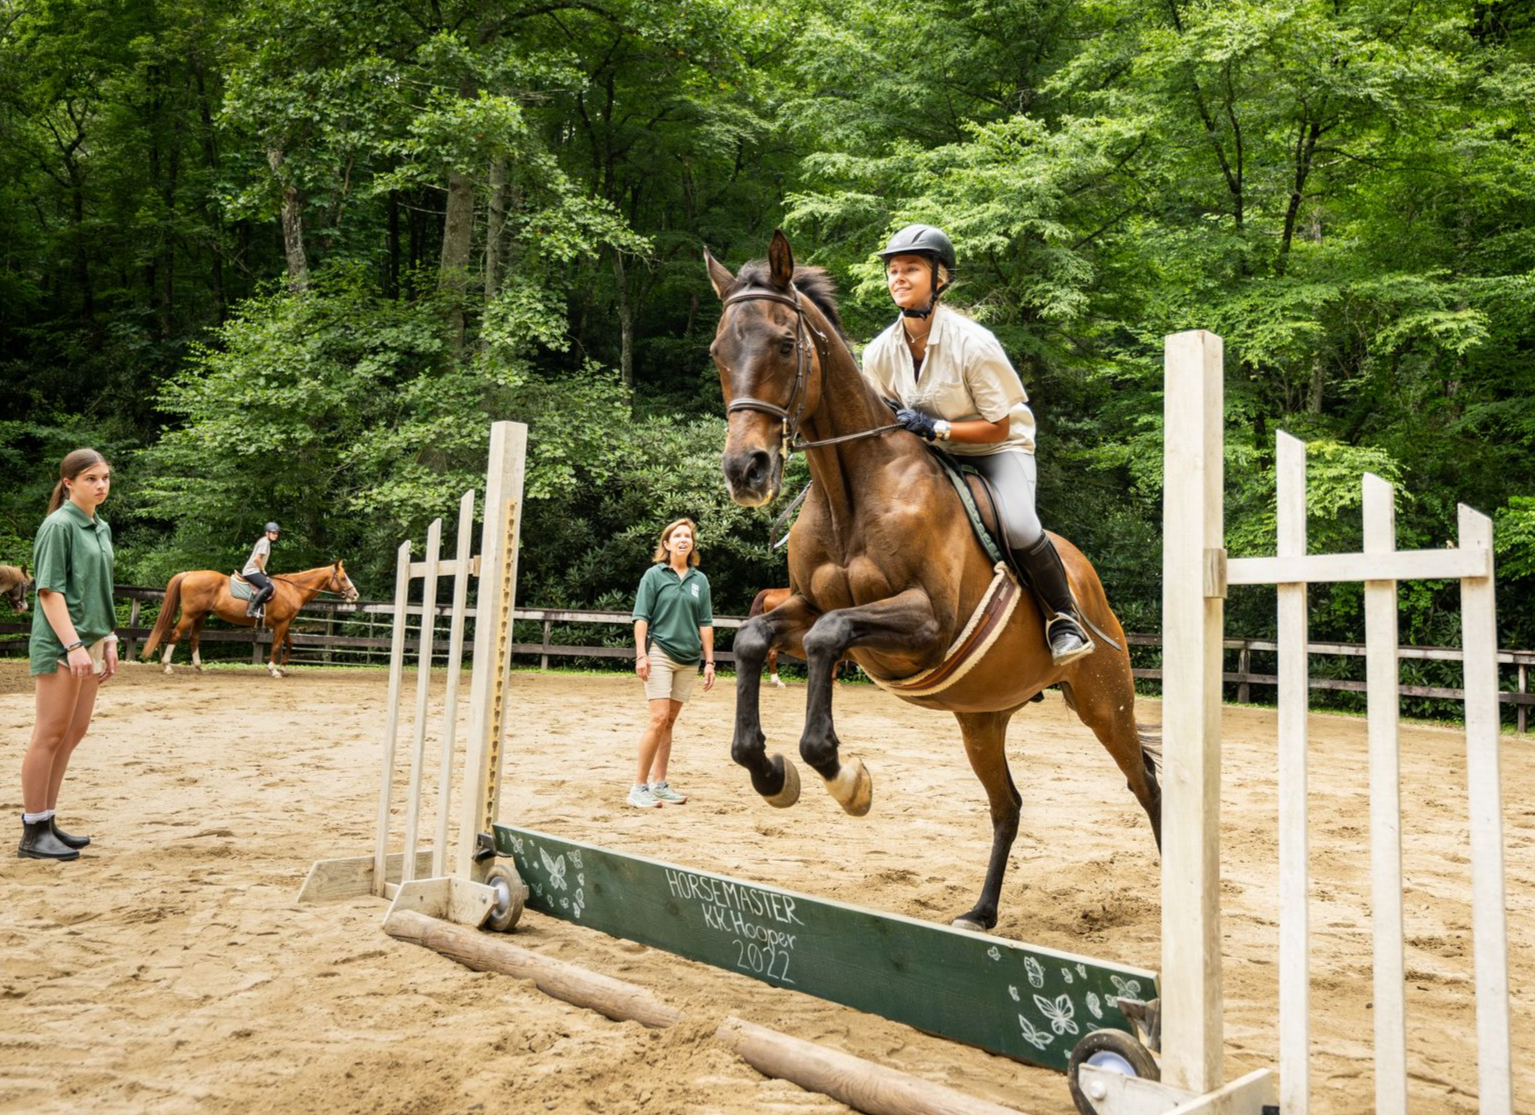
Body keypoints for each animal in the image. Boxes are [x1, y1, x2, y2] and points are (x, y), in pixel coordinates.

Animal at [140, 562, 358, 678]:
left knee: (194, 639)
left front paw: (283, 667)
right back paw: (167, 666)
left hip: (201, 616)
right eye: (343, 577)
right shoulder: (281, 624)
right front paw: (273, 670)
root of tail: (189, 574)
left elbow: (289, 643)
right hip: (190, 615)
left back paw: (200, 666)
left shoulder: (284, 623)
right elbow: (277, 645)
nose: (355, 595)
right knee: (176, 634)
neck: (292, 589)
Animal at [705, 231, 1161, 932]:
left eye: (784, 344)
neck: (852, 490)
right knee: (1007, 805)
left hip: (1104, 701)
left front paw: (844, 777)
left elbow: (829, 636)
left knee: (1144, 782)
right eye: (718, 352)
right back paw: (980, 912)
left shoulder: (928, 623)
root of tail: (1090, 583)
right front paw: (771, 773)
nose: (745, 471)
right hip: (982, 718)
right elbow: (754, 638)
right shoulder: (803, 605)